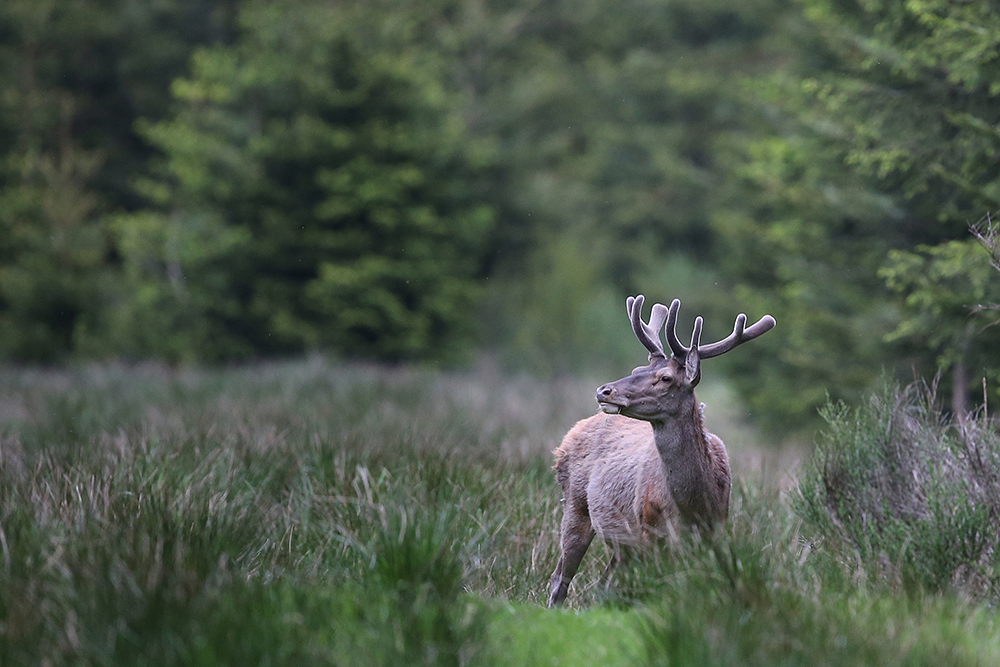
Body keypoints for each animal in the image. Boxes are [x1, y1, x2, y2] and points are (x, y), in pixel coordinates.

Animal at [548, 294, 772, 608]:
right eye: (636, 371)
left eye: (666, 378)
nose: (604, 391)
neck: (694, 505)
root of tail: (570, 434)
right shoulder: (650, 532)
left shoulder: (716, 532)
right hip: (575, 505)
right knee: (560, 579)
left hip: (622, 544)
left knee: (603, 584)